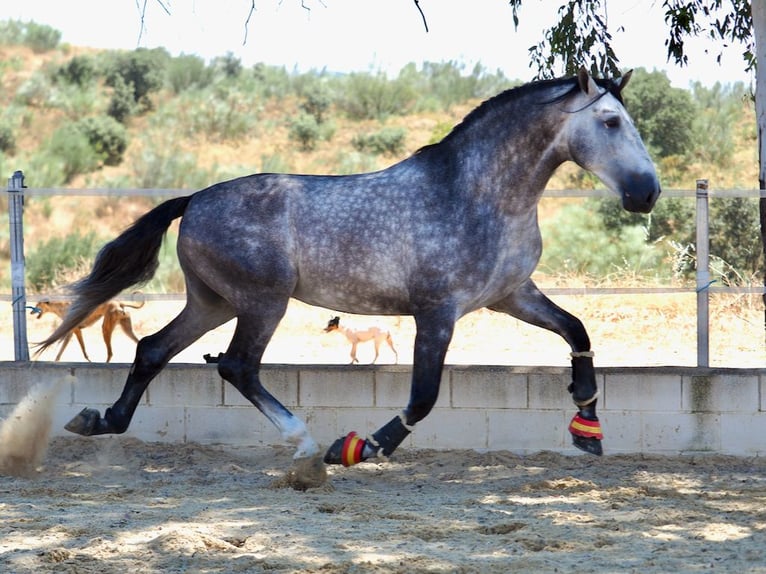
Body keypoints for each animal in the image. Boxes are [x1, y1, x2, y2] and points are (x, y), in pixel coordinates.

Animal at [40, 71, 660, 468]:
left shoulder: (513, 295)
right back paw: (308, 443)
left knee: (153, 350)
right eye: (610, 122)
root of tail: (193, 200)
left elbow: (576, 330)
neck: (478, 194)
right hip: (262, 302)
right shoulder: (437, 312)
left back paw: (100, 421)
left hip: (212, 302)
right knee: (237, 366)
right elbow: (423, 396)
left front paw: (587, 426)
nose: (646, 193)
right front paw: (361, 448)